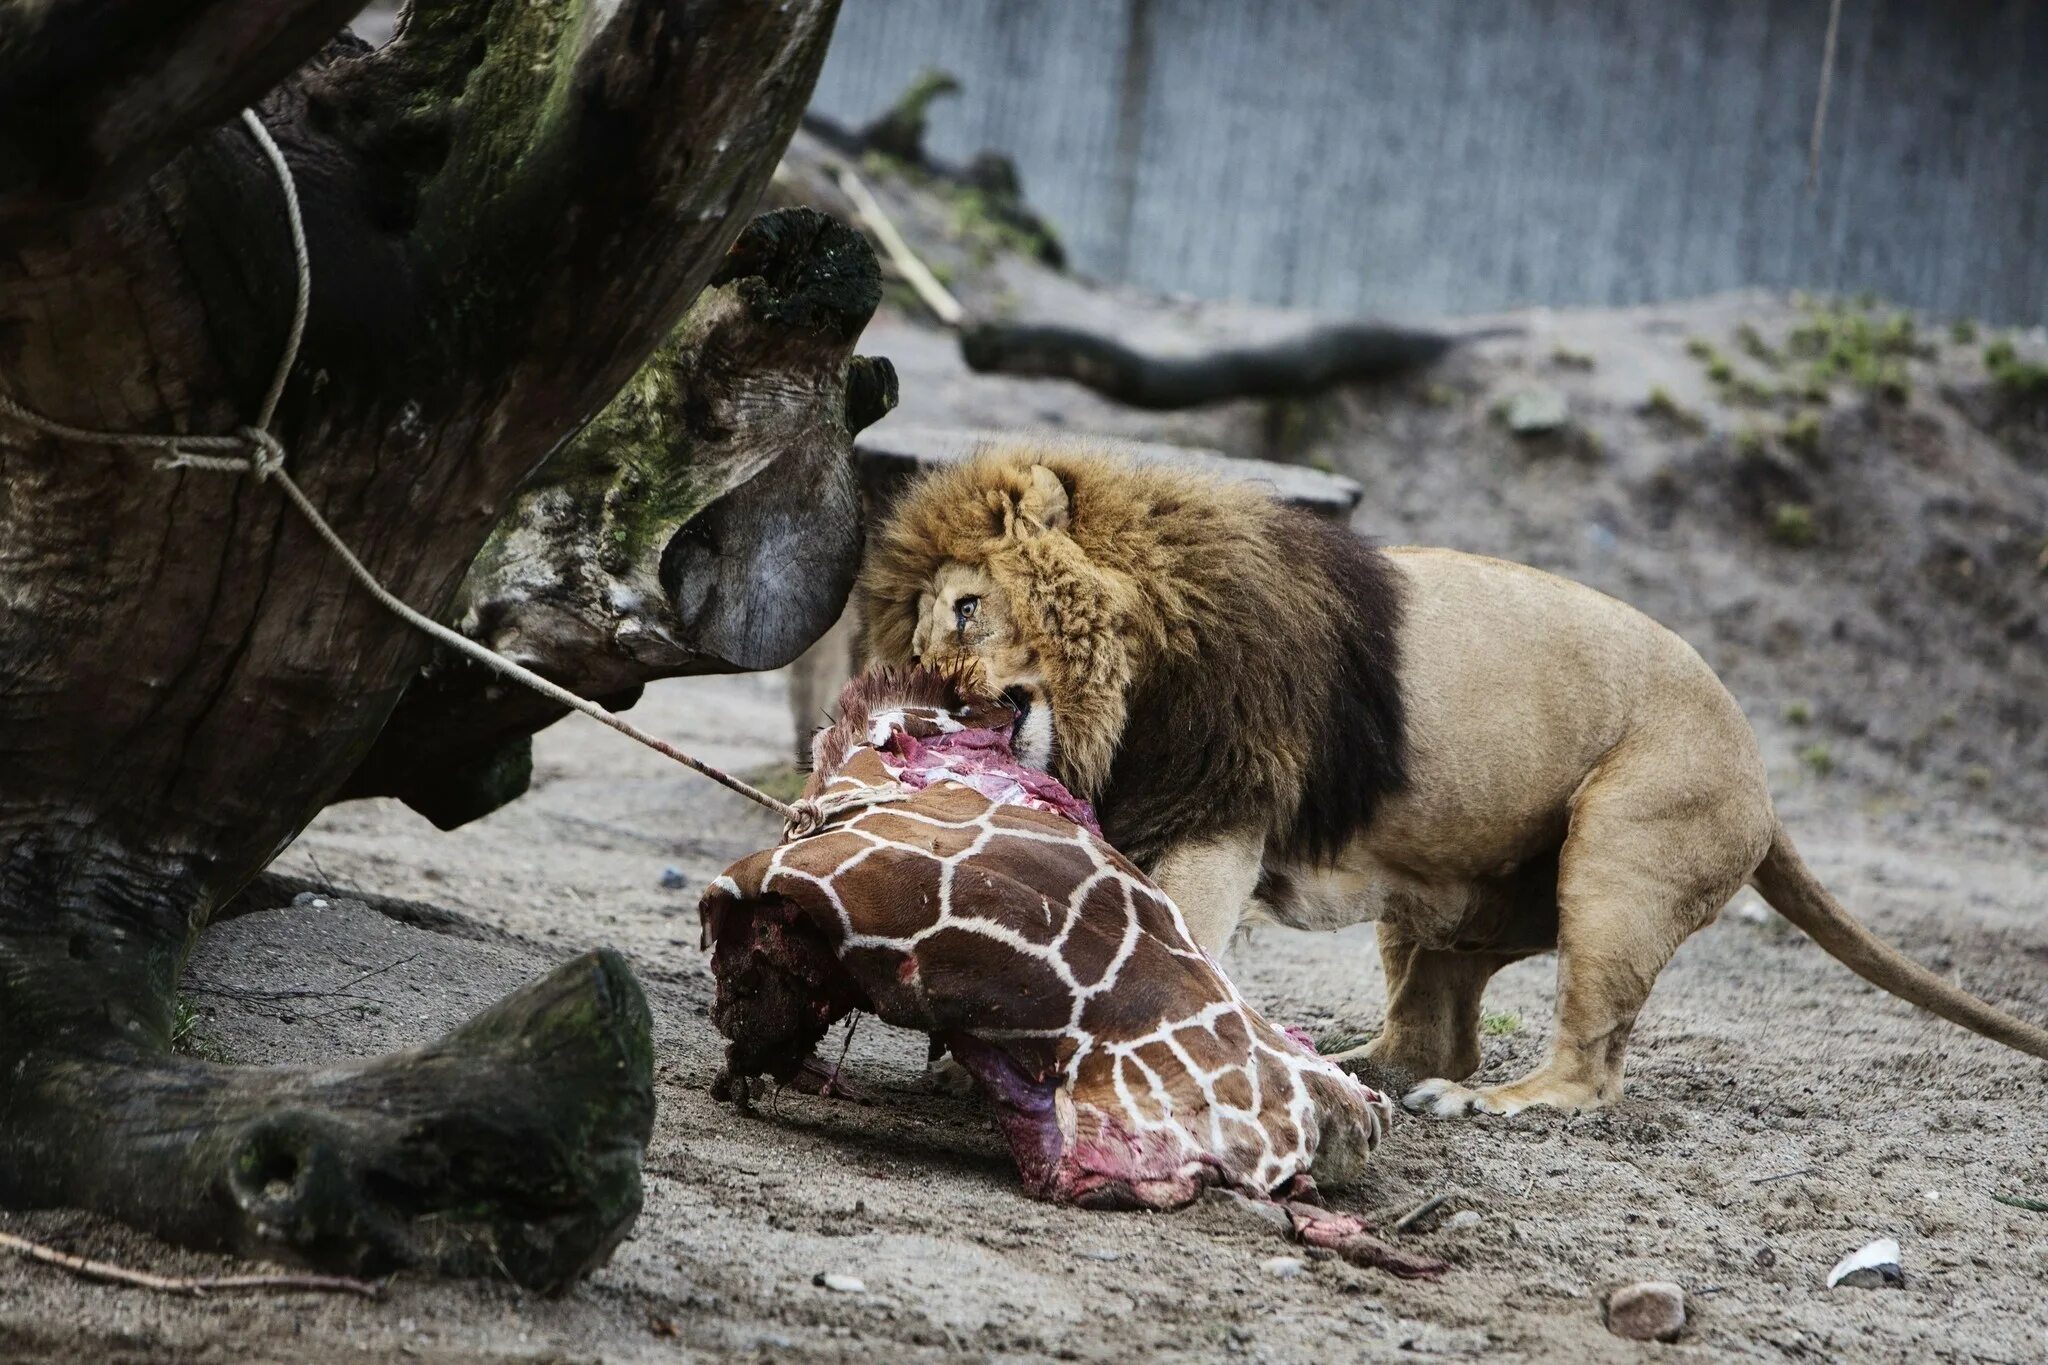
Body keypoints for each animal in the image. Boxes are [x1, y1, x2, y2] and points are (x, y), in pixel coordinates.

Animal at [856, 444, 2048, 1113]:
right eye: (919, 637)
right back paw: (1357, 1066)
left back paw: (1498, 1106)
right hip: (1442, 900)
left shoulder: (1220, 810)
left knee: (1589, 1068)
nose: (933, 699)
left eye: (966, 610)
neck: (1131, 675)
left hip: (1623, 856)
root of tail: (1759, 768)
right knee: (1434, 1029)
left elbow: (1171, 935)